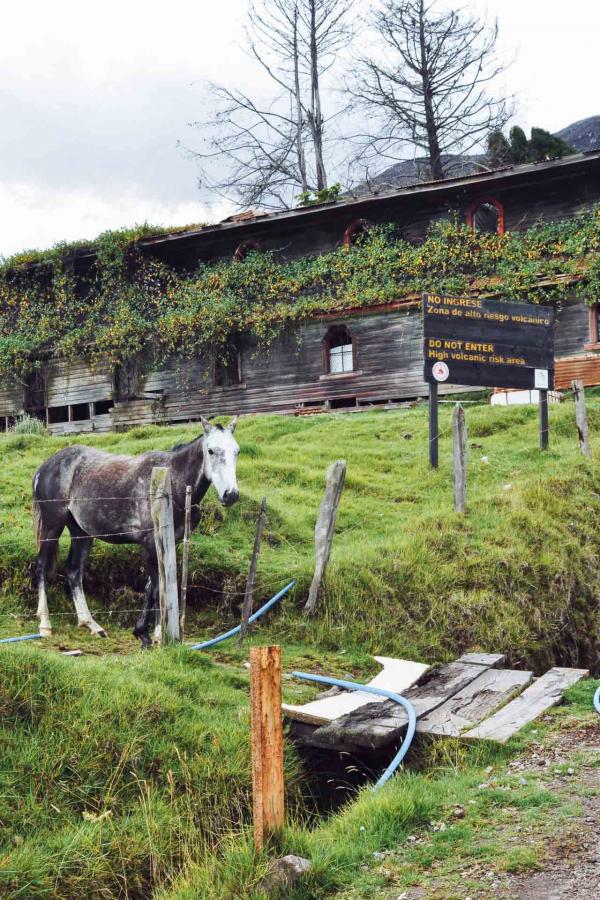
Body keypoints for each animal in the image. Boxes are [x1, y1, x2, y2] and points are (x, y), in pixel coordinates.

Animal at [32, 414, 239, 648]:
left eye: (236, 451)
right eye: (211, 450)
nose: (231, 495)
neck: (169, 483)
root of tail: (44, 467)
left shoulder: (170, 543)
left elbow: (156, 586)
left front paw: (150, 634)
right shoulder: (149, 544)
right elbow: (157, 588)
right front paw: (150, 635)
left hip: (81, 533)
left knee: (74, 571)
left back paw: (91, 624)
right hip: (52, 527)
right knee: (41, 567)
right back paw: (45, 624)